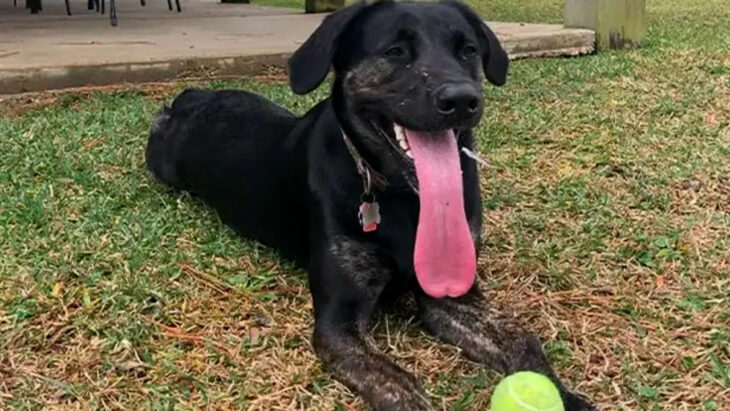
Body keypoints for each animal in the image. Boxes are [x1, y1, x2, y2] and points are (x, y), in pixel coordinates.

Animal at [145, 1, 596, 410]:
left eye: (467, 49)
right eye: (395, 51)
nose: (461, 100)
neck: (405, 199)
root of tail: (192, 96)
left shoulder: (452, 295)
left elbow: (524, 341)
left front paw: (571, 398)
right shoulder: (339, 322)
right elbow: (398, 383)